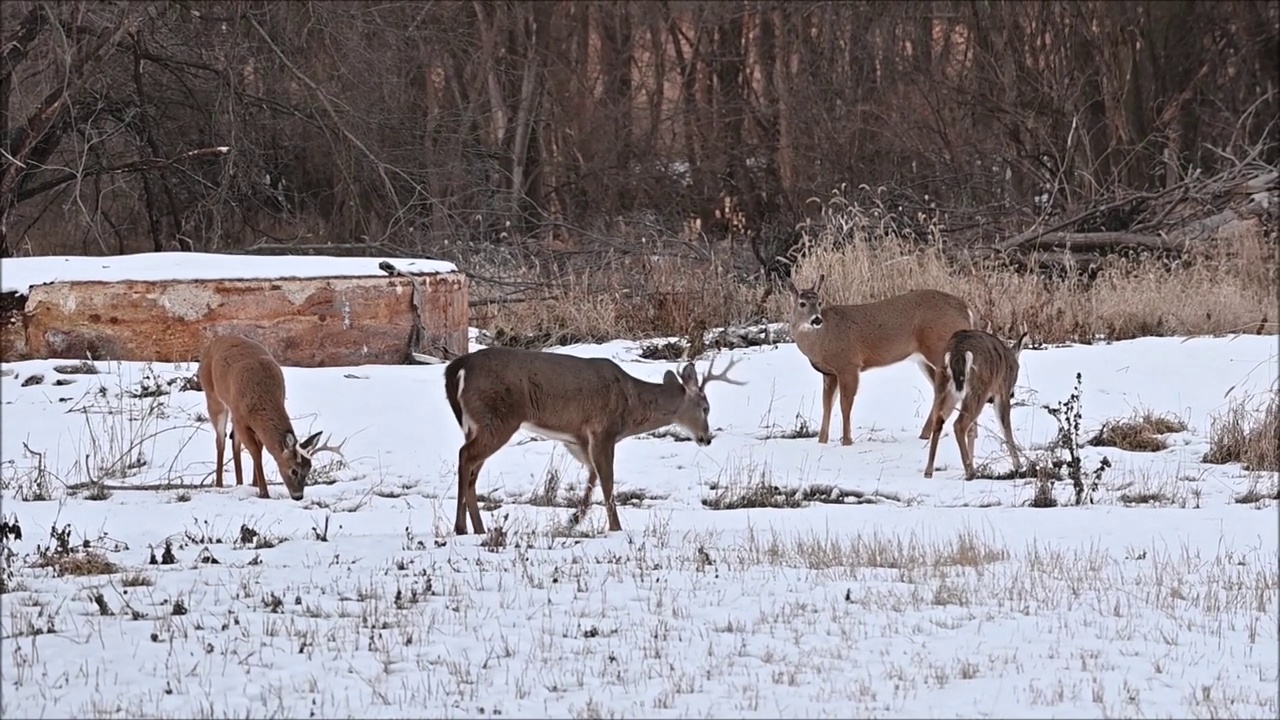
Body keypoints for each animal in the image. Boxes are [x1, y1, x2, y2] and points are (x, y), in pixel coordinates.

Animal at [197, 333, 345, 497]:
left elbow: (259, 448)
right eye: (294, 471)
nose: (298, 496)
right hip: (213, 397)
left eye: (309, 468)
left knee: (234, 441)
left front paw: (255, 485)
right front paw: (263, 491)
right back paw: (219, 484)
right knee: (220, 440)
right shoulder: (239, 416)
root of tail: (213, 342)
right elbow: (255, 452)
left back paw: (239, 483)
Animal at [445, 345, 747, 535]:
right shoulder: (604, 429)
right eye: (705, 408)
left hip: (477, 424)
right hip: (499, 418)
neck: (631, 405)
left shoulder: (578, 436)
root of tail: (458, 368)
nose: (706, 438)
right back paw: (460, 527)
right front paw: (615, 528)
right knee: (464, 455)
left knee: (472, 468)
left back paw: (479, 528)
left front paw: (575, 518)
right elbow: (607, 479)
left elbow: (592, 473)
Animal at [778, 274, 977, 443]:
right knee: (943, 389)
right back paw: (934, 434)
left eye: (819, 302)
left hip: (938, 349)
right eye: (802, 303)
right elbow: (827, 405)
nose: (816, 320)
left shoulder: (849, 364)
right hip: (924, 358)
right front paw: (822, 441)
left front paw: (847, 441)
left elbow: (845, 404)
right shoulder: (829, 373)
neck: (822, 340)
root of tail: (967, 309)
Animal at [921, 327, 1029, 479]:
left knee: (938, 420)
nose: (1012, 394)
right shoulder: (1001, 392)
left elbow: (972, 430)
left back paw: (929, 471)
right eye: (1017, 372)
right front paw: (1018, 465)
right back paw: (970, 472)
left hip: (942, 386)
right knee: (959, 424)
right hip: (978, 388)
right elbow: (1005, 427)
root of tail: (957, 353)